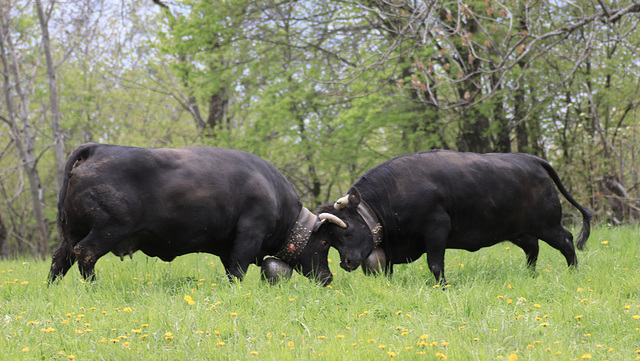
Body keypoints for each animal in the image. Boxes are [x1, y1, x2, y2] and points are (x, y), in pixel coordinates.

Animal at [50, 142, 336, 286]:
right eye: (324, 242)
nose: (328, 278)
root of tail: (98, 148)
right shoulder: (249, 234)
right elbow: (238, 269)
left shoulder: (227, 247)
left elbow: (231, 270)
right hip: (107, 230)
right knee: (85, 254)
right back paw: (93, 288)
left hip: (71, 232)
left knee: (60, 259)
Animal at [312, 150, 592, 284]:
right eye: (330, 240)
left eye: (347, 229)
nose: (346, 262)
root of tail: (532, 159)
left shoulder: (436, 229)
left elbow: (436, 264)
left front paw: (444, 287)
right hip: (519, 231)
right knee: (533, 249)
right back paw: (530, 276)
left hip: (548, 224)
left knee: (566, 241)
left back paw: (573, 272)